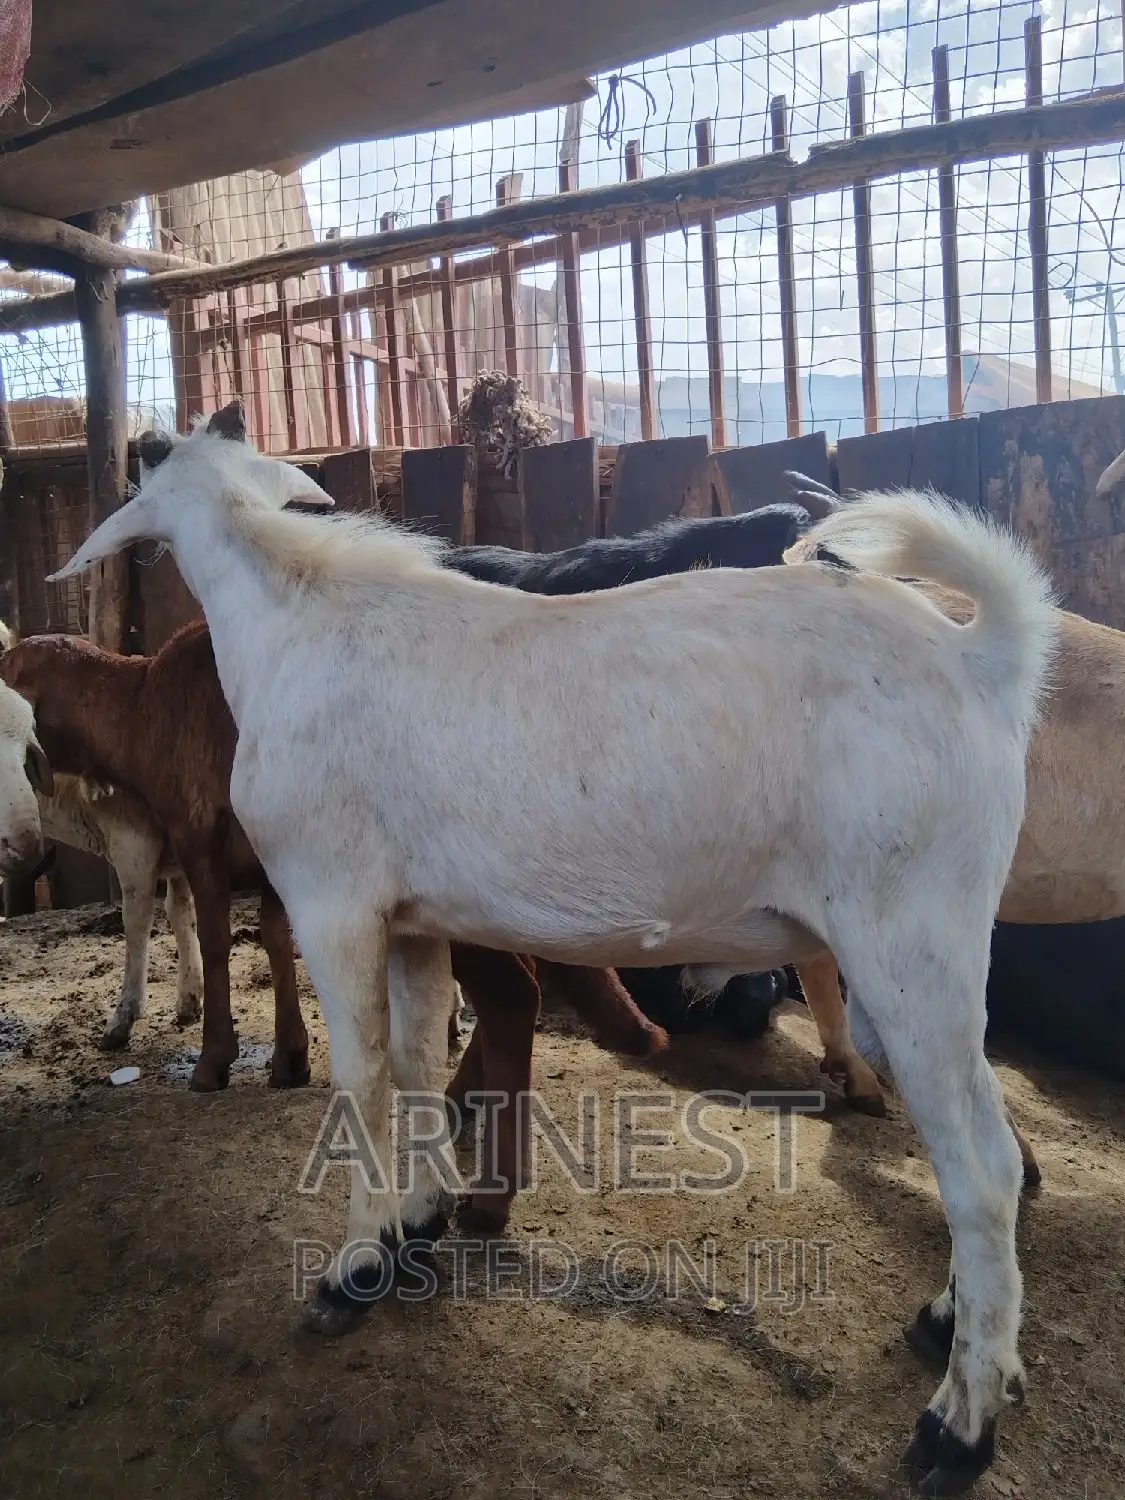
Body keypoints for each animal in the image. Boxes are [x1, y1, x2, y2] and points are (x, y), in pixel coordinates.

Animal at [52, 403, 1056, 1495]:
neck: (294, 622)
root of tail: (982, 657)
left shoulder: (331, 898)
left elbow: (360, 1081)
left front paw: (352, 1271)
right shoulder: (411, 920)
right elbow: (417, 1062)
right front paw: (416, 1226)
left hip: (911, 932)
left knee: (982, 1171)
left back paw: (956, 1429)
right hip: (914, 953)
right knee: (986, 1144)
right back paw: (948, 1328)